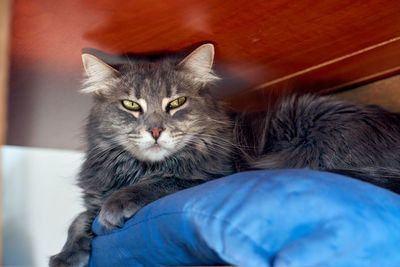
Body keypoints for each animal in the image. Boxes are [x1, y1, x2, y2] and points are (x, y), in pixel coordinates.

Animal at [49, 44, 400, 267]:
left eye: (177, 103)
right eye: (131, 105)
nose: (155, 131)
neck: (138, 168)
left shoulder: (211, 176)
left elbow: (160, 184)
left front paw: (116, 206)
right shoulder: (92, 196)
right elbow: (79, 219)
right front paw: (66, 256)